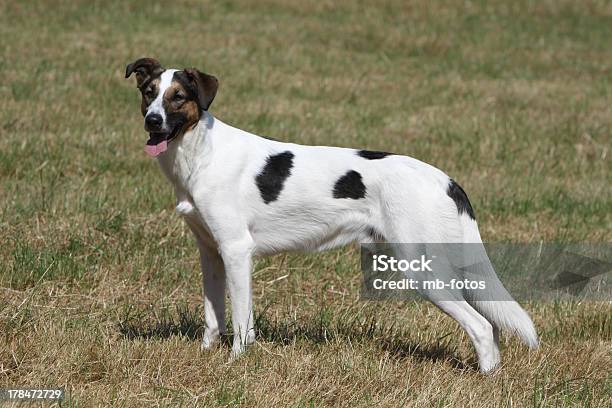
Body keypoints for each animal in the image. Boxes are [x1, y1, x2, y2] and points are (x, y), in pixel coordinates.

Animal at [126, 57, 536, 372]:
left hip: (424, 268)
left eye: (178, 97)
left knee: (482, 327)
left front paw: (236, 362)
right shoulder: (211, 252)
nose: (152, 121)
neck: (201, 152)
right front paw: (206, 354)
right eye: (149, 93)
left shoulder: (237, 250)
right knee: (491, 326)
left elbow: (242, 320)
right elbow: (213, 316)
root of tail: (446, 180)